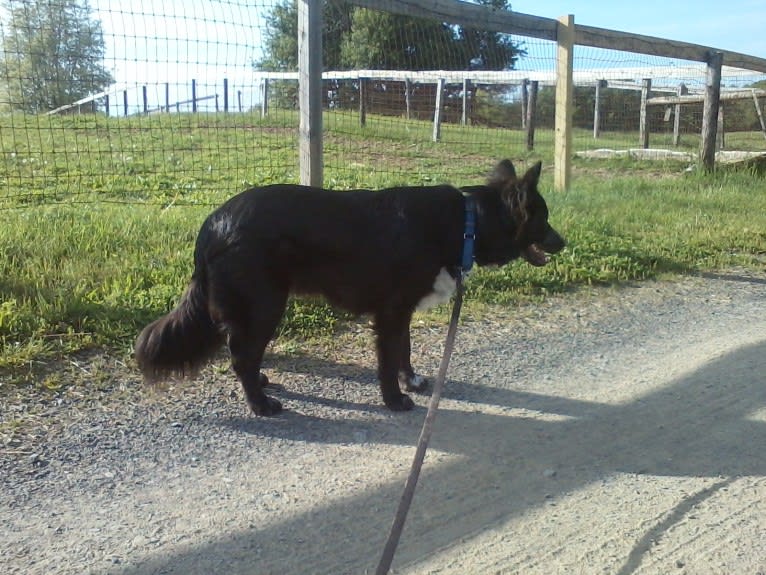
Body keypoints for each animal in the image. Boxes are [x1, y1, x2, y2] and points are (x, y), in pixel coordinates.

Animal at [135, 160, 564, 416]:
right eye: (543, 218)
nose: (563, 242)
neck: (467, 222)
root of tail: (213, 223)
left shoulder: (400, 311)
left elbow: (404, 350)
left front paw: (411, 380)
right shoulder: (390, 312)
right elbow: (387, 361)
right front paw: (395, 399)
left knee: (242, 353)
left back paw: (259, 383)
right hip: (265, 305)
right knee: (241, 354)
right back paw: (261, 404)